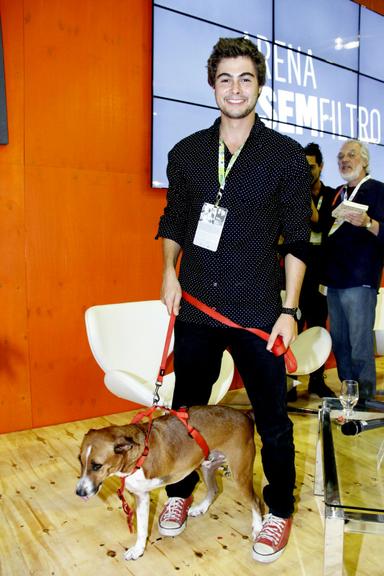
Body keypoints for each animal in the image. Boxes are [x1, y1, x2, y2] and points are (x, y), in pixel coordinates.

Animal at [76, 402, 260, 560]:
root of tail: (244, 414)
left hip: (240, 475)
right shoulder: (141, 496)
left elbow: (142, 528)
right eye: (80, 461)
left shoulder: (142, 495)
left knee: (256, 501)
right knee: (214, 489)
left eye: (97, 466)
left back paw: (258, 527)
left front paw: (138, 550)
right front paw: (138, 550)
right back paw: (200, 508)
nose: (79, 492)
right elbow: (142, 528)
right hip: (207, 466)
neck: (138, 455)